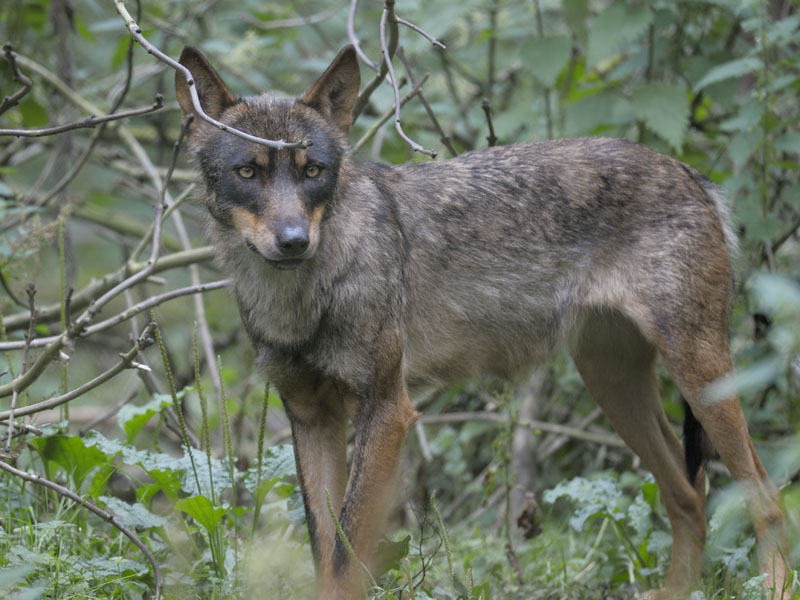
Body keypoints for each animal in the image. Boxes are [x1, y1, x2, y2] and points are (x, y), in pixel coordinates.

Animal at [175, 45, 790, 599]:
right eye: (248, 171)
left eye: (313, 172)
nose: (294, 241)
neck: (306, 297)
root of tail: (690, 172)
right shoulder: (310, 418)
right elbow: (324, 551)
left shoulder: (386, 411)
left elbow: (347, 561)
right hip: (613, 385)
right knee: (688, 494)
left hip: (700, 378)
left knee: (764, 490)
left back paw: (775, 586)